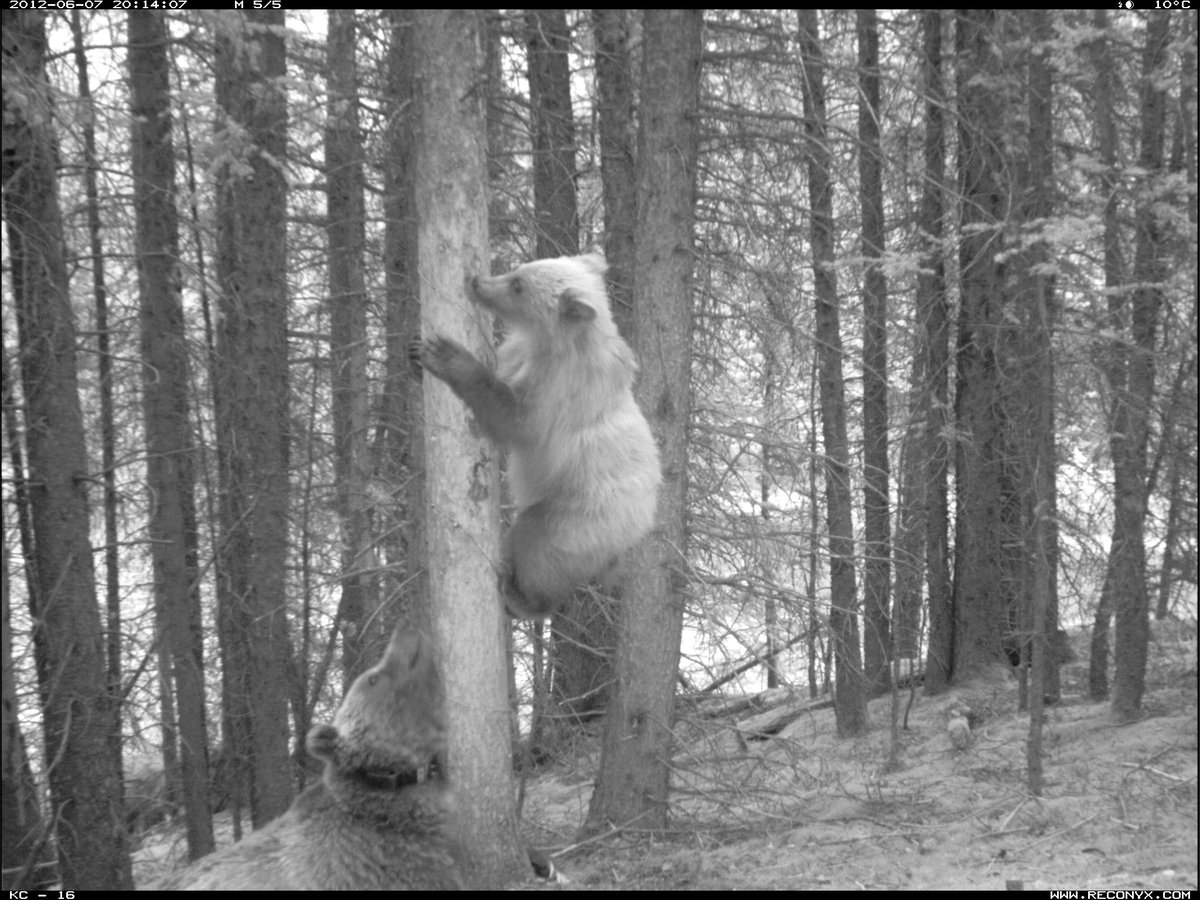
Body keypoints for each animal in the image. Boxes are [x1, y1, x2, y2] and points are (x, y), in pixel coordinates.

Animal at [411, 252, 661, 619]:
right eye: (519, 270)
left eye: (518, 285)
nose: (477, 282)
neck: (553, 342)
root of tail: (636, 534)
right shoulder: (517, 354)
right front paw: (414, 351)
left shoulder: (559, 388)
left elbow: (516, 420)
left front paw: (446, 354)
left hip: (578, 518)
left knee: (538, 546)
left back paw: (520, 597)